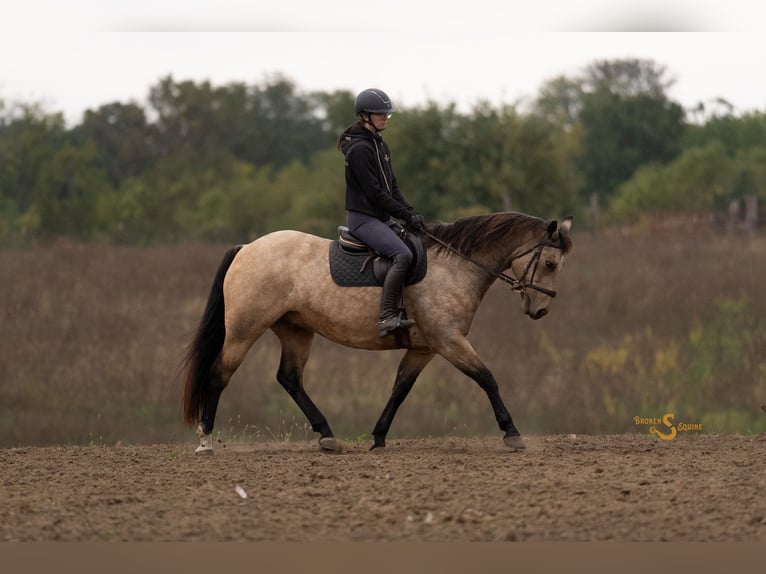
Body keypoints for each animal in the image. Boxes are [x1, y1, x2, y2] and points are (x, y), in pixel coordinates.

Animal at [181, 211, 573, 453]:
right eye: (550, 263)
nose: (540, 310)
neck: (455, 267)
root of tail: (247, 248)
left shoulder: (425, 349)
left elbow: (400, 388)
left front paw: (379, 436)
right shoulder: (449, 341)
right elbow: (487, 378)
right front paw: (512, 433)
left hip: (295, 331)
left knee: (290, 378)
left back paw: (328, 436)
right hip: (244, 330)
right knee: (219, 375)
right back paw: (206, 440)